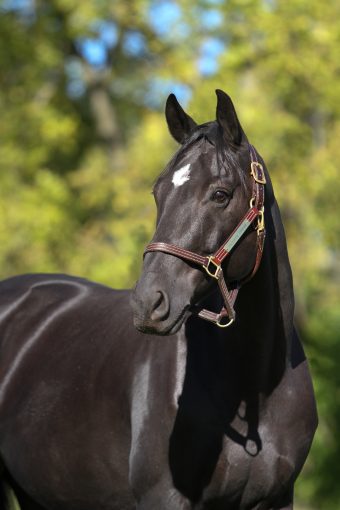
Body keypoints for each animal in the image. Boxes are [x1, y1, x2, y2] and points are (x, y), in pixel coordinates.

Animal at [0, 89, 318, 508]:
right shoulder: (165, 497)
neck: (255, 385)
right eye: (158, 192)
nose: (148, 304)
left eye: (220, 194)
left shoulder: (277, 497)